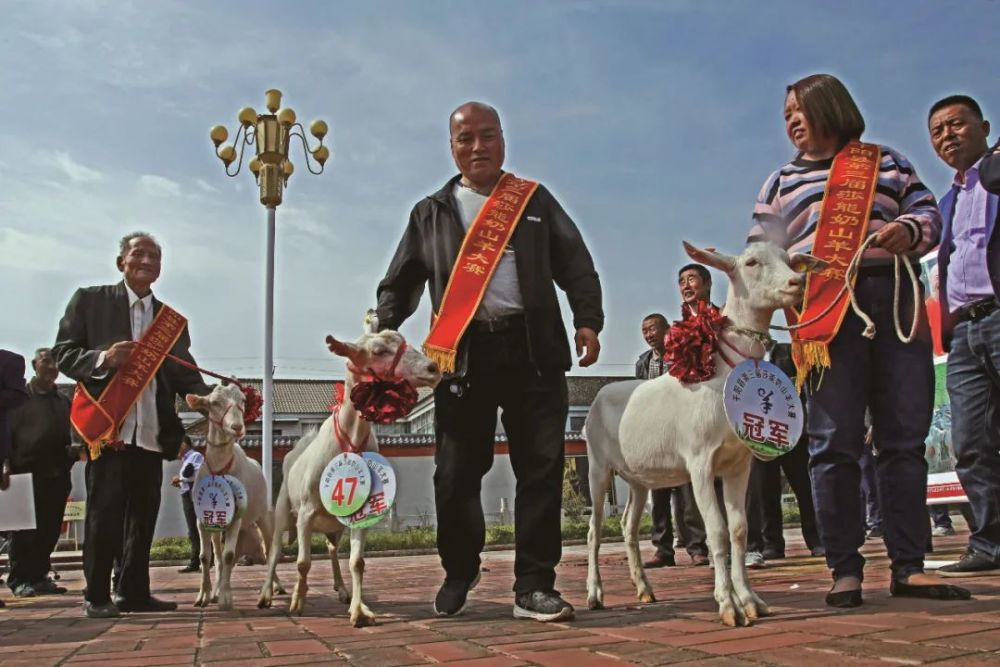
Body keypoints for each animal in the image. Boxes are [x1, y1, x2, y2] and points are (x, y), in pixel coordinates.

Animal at [258, 314, 442, 628]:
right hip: (284, 508)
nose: (433, 368)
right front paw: (297, 602)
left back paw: (342, 590)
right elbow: (302, 562)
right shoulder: (305, 512)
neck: (349, 441)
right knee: (274, 552)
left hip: (334, 524)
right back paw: (267, 594)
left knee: (332, 550)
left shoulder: (363, 513)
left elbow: (357, 562)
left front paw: (359, 609)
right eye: (379, 351)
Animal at [584, 243, 824, 628]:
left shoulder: (739, 464)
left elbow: (739, 530)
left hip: (637, 477)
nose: (797, 282)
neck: (720, 372)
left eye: (790, 260)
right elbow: (717, 532)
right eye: (750, 262)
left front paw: (751, 600)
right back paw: (595, 595)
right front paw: (728, 605)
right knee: (594, 529)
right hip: (597, 465)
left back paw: (644, 589)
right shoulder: (700, 462)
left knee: (627, 526)